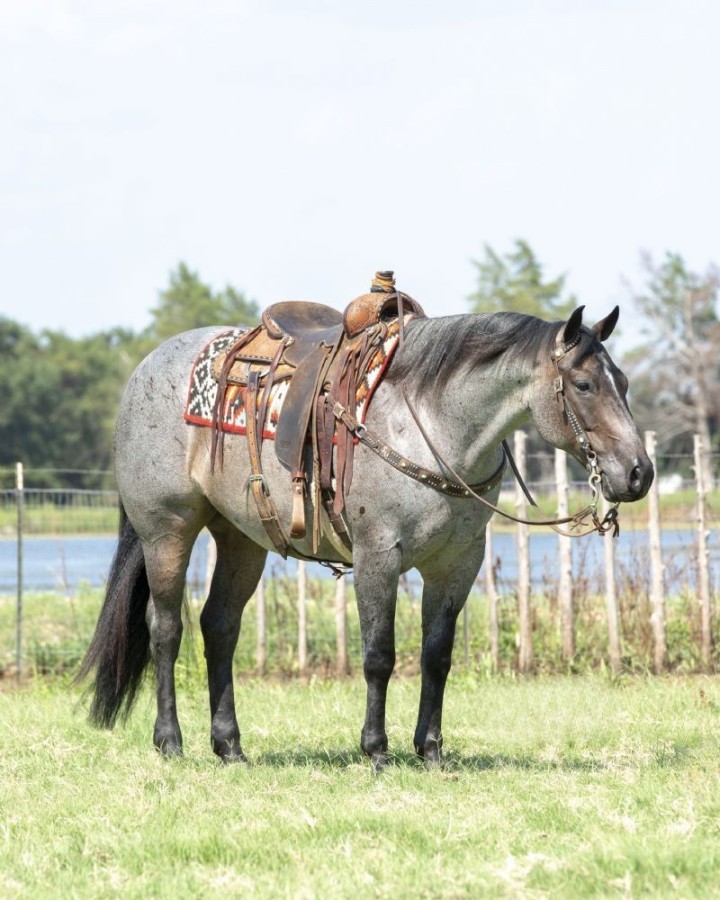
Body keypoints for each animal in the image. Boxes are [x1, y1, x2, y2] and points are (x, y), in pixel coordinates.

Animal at [78, 303, 653, 770]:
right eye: (584, 385)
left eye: (624, 382)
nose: (638, 473)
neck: (432, 424)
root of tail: (146, 369)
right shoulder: (379, 555)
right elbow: (380, 655)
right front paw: (376, 750)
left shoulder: (457, 564)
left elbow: (436, 656)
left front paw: (431, 750)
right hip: (167, 531)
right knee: (166, 629)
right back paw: (170, 741)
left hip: (241, 540)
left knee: (219, 627)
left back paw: (230, 747)